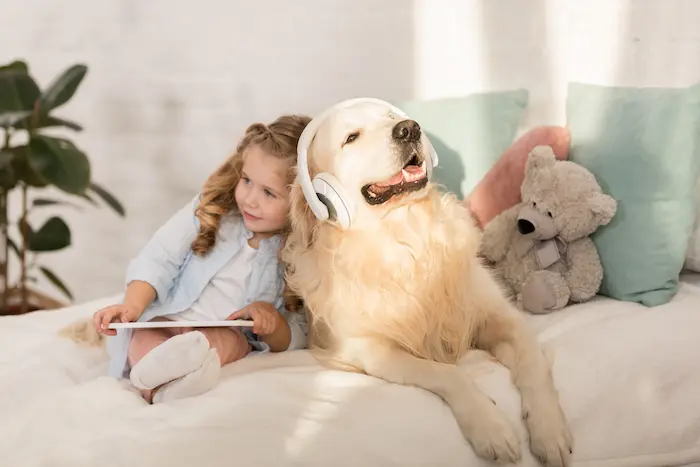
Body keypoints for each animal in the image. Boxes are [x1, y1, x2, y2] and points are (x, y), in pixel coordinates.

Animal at [282, 97, 572, 466]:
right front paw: (491, 426)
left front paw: (549, 430)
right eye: (351, 137)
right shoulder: (367, 349)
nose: (409, 128)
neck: (407, 234)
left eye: (391, 117)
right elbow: (448, 373)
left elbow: (535, 366)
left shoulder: (502, 317)